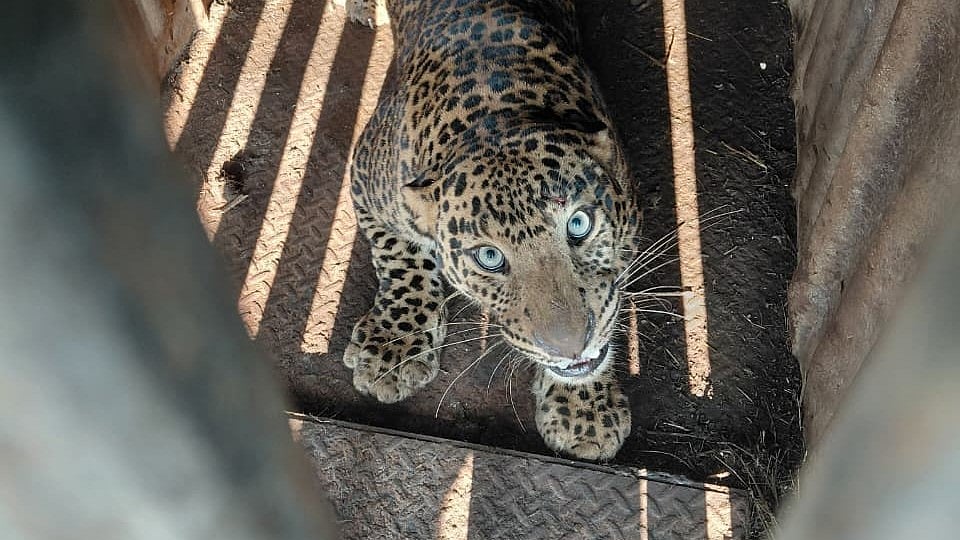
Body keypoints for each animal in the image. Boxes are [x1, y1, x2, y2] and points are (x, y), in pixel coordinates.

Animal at [341, 0, 641, 461]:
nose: (570, 346)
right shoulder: (364, 177)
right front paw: (393, 346)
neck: (497, 110)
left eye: (579, 224)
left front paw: (583, 408)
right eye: (489, 257)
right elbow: (402, 259)